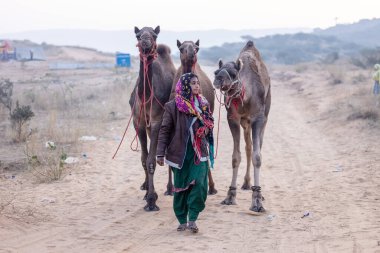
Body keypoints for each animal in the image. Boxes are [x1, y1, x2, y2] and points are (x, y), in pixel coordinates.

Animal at [127, 26, 175, 211]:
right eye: (138, 35)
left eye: (154, 35)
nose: (145, 42)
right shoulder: (138, 123)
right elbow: (143, 158)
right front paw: (147, 191)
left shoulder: (157, 122)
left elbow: (151, 160)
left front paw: (152, 200)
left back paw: (171, 189)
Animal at [214, 40, 270, 212]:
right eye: (216, 71)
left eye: (233, 73)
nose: (218, 78)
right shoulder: (233, 118)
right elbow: (235, 156)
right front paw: (230, 196)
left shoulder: (258, 118)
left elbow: (258, 157)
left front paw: (257, 200)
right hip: (245, 123)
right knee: (248, 147)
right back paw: (246, 183)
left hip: (265, 116)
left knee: (257, 147)